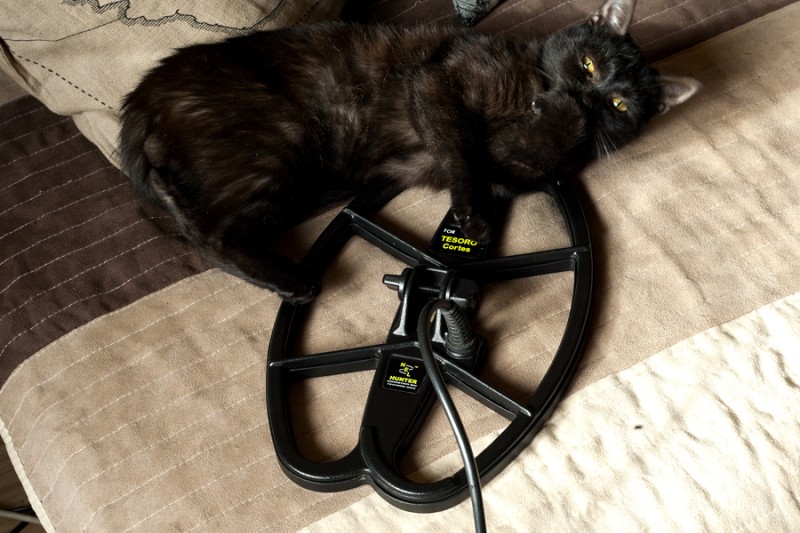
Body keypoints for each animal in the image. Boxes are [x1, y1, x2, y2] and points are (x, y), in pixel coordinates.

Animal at [119, 0, 700, 303]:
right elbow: (460, 148)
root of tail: (143, 93)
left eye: (620, 103)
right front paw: (472, 218)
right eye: (589, 65)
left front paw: (564, 121)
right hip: (277, 147)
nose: (586, 96)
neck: (526, 91)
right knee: (208, 237)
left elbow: (520, 152)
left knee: (199, 224)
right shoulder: (437, 83)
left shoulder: (511, 166)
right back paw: (296, 282)